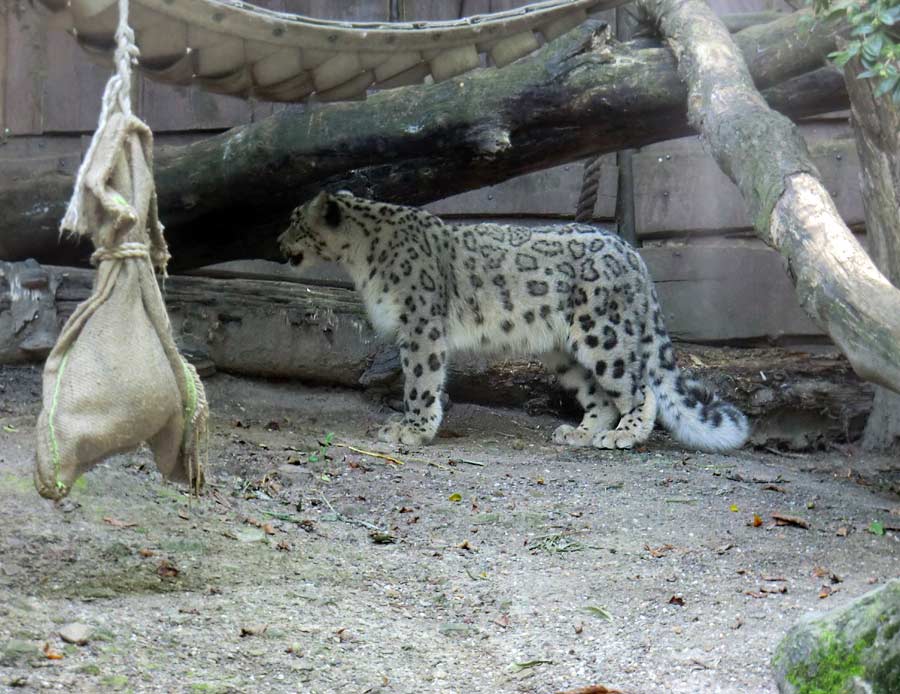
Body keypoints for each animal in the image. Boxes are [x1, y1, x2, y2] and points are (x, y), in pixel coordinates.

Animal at [278, 190, 748, 452]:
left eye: (296, 221)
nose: (278, 242)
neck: (359, 261)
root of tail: (633, 254)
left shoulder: (421, 325)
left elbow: (420, 381)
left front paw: (412, 430)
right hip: (564, 351)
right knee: (598, 396)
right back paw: (579, 434)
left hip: (604, 334)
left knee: (639, 388)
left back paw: (624, 435)